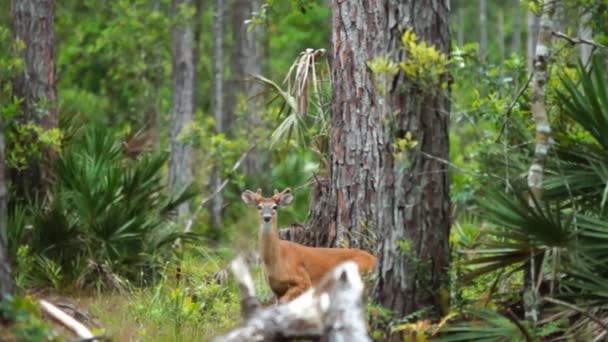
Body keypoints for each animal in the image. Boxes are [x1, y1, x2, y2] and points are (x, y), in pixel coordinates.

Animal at [241, 188, 376, 304]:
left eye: (275, 207)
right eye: (259, 207)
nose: (267, 217)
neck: (276, 261)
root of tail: (374, 259)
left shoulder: (304, 280)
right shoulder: (275, 289)